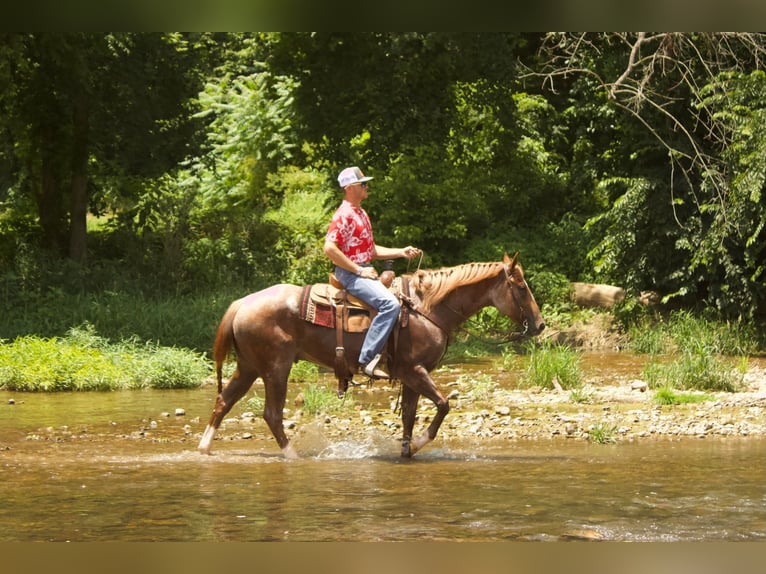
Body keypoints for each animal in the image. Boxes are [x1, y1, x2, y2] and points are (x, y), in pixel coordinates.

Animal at [197, 252, 545, 459]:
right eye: (521, 287)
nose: (540, 325)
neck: (427, 307)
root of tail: (242, 302)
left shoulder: (411, 376)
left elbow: (408, 416)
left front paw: (407, 451)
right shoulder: (416, 370)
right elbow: (443, 405)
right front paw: (419, 443)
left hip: (249, 367)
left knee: (223, 401)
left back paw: (204, 448)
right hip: (275, 369)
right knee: (271, 414)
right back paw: (293, 455)